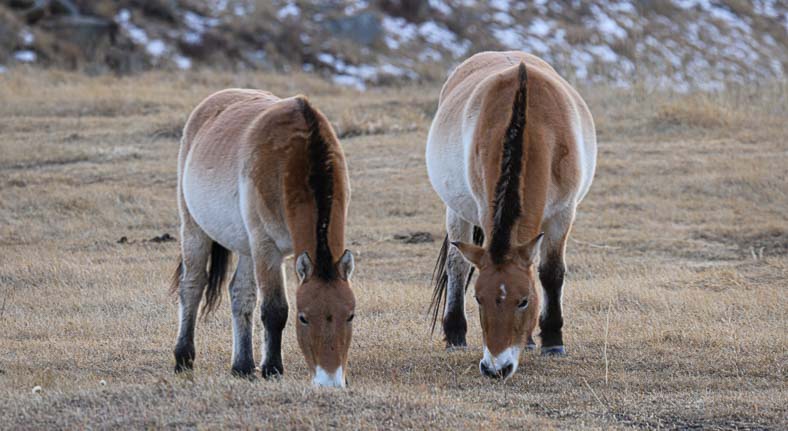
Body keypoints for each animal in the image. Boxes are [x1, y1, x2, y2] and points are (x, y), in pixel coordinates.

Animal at [175, 88, 358, 388]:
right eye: (303, 318)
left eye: (350, 315)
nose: (329, 381)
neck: (293, 158)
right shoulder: (267, 248)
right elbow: (275, 310)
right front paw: (272, 368)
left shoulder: (260, 248)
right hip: (194, 229)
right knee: (192, 285)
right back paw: (183, 358)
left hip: (245, 247)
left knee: (240, 294)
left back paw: (242, 366)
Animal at [428, 51, 596, 382]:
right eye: (478, 298)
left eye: (523, 301)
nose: (496, 368)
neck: (529, 124)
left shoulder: (563, 214)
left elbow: (550, 273)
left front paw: (552, 341)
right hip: (455, 209)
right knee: (456, 267)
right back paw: (455, 335)